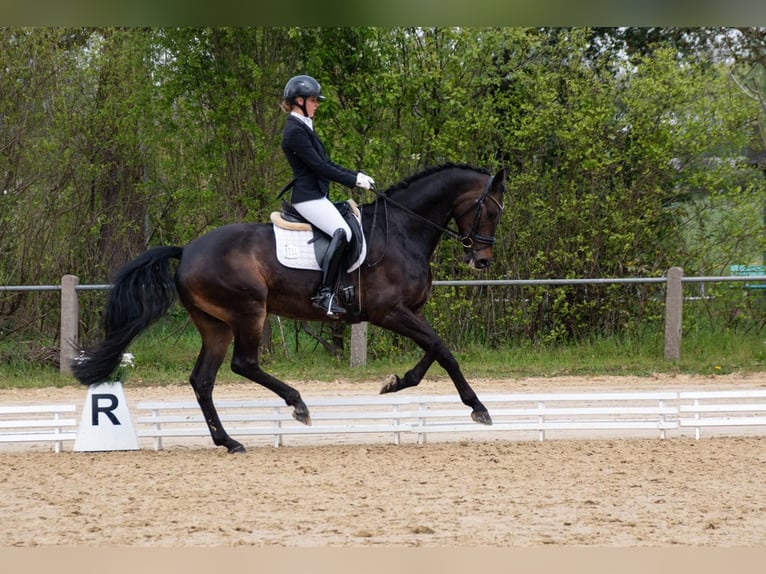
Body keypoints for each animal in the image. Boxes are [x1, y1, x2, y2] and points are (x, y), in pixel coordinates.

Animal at [72, 162, 510, 454]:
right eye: (489, 209)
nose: (482, 261)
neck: (402, 231)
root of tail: (187, 250)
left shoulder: (410, 312)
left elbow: (435, 350)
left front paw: (397, 382)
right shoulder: (389, 313)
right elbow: (441, 348)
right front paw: (477, 408)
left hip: (215, 324)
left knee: (203, 380)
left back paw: (228, 440)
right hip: (249, 311)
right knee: (243, 364)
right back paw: (297, 405)